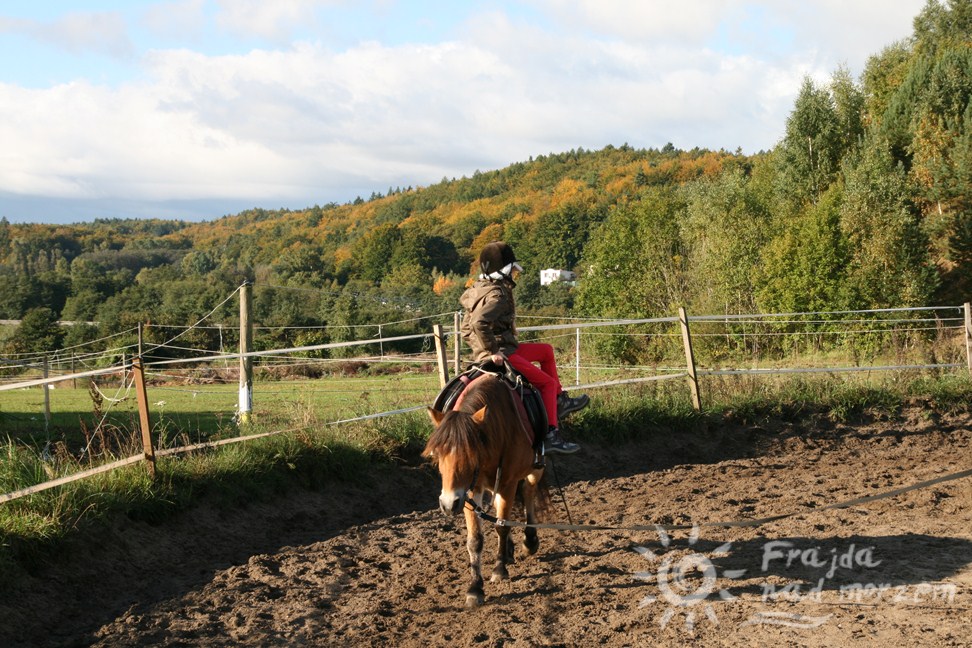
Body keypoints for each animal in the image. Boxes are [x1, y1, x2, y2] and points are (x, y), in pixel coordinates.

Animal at [424, 374, 552, 608]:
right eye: (437, 454)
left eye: (471, 453)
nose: (447, 504)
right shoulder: (467, 491)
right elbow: (475, 539)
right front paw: (475, 588)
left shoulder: (507, 483)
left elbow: (502, 526)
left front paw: (499, 569)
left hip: (534, 470)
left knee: (528, 492)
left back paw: (529, 540)